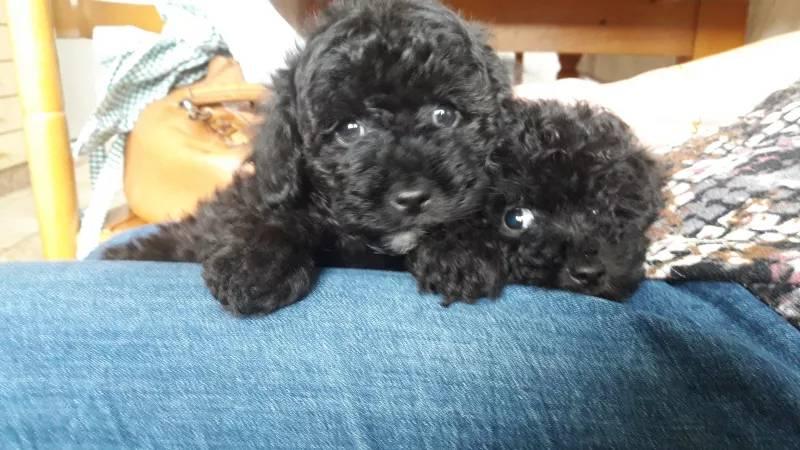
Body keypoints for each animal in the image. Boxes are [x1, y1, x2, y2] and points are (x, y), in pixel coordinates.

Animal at [102, 0, 512, 315]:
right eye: (349, 129)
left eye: (445, 115)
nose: (412, 198)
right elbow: (271, 216)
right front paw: (252, 267)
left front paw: (458, 251)